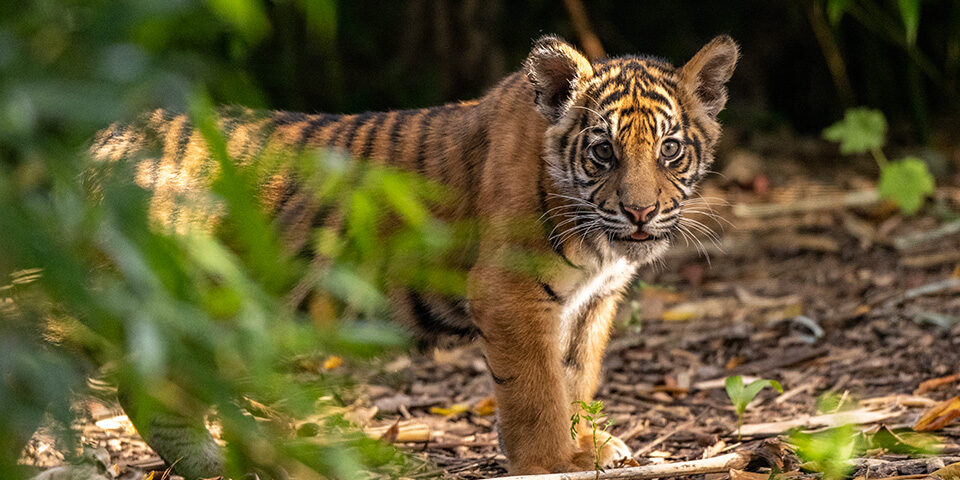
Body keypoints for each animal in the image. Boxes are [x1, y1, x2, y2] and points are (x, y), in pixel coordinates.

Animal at [87, 35, 738, 476]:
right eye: (604, 152)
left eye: (671, 149)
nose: (640, 213)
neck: (599, 245)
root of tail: (103, 137)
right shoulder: (510, 294)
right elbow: (536, 390)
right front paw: (553, 461)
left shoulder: (590, 303)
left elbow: (574, 379)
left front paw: (588, 446)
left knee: (154, 391)